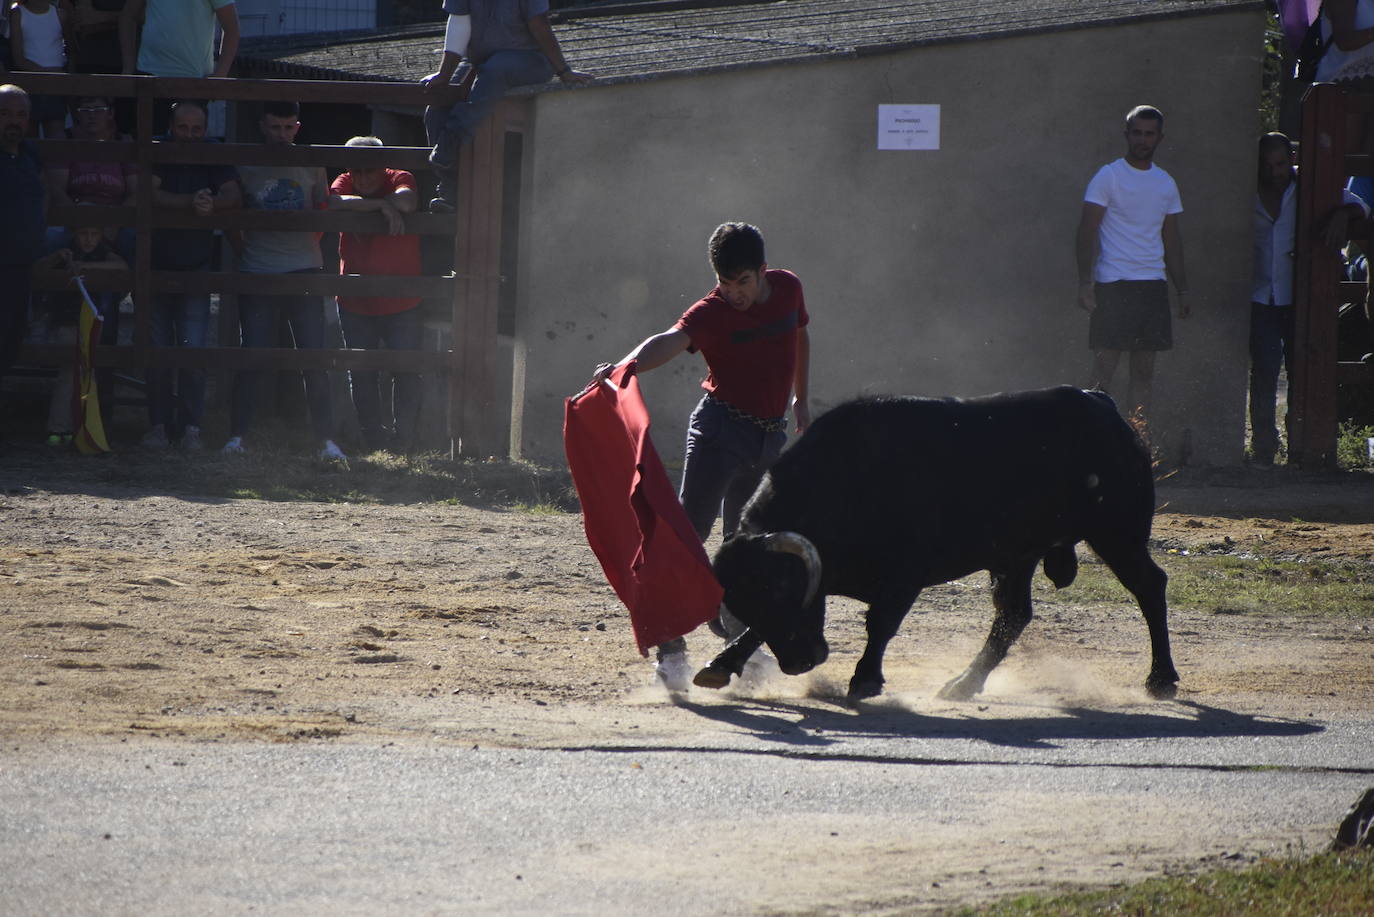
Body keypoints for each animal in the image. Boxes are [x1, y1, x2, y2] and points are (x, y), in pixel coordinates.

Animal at [697, 387, 1181, 703]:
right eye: (744, 600)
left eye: (780, 588)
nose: (801, 663)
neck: (847, 482)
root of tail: (1104, 406)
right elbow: (757, 632)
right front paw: (719, 667)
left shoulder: (904, 577)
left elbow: (880, 625)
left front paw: (865, 680)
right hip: (1018, 557)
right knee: (1013, 616)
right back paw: (963, 684)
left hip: (1118, 535)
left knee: (1150, 587)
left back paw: (1161, 679)